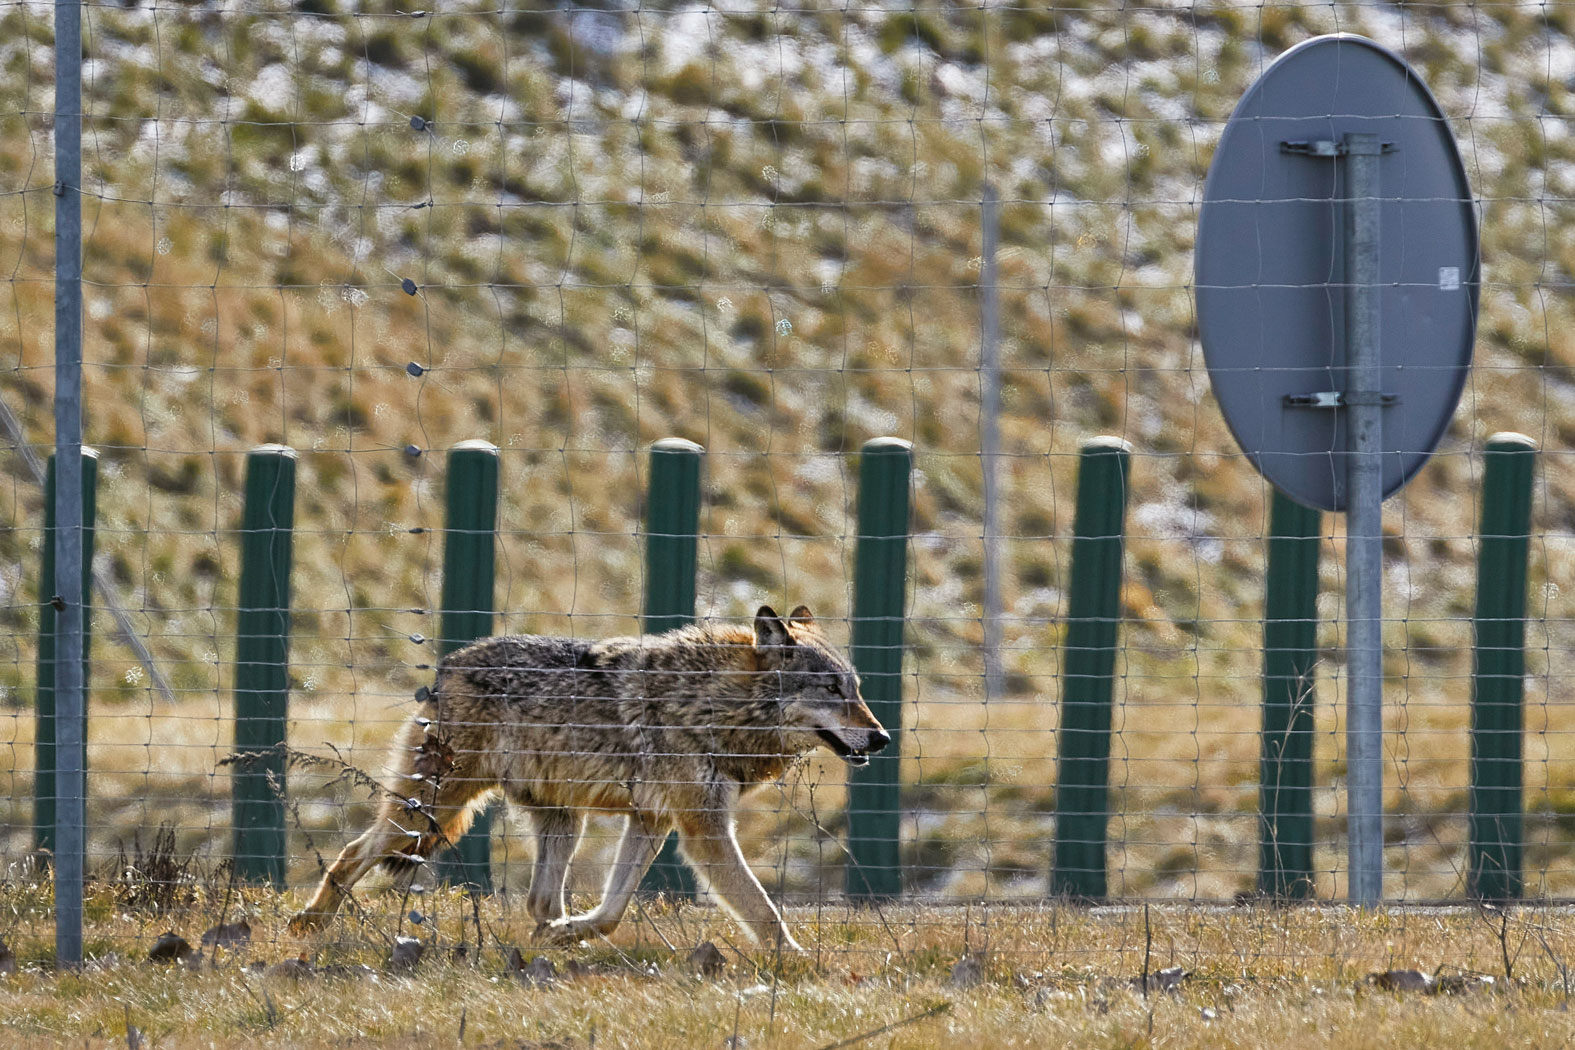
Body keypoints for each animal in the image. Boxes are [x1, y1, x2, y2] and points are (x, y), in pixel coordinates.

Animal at [291, 604, 894, 950]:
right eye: (832, 689)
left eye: (856, 688)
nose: (883, 738)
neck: (718, 706)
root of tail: (446, 667)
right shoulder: (703, 831)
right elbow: (765, 913)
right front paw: (799, 968)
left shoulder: (652, 821)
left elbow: (611, 911)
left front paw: (572, 934)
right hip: (429, 813)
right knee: (351, 853)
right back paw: (309, 925)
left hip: (562, 821)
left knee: (540, 903)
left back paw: (545, 946)